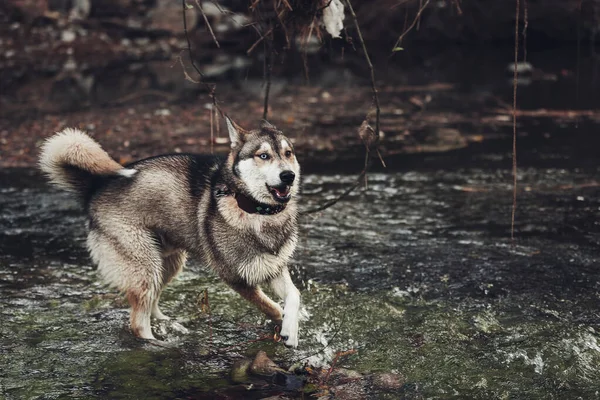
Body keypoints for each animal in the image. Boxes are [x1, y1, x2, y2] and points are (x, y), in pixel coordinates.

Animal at [38, 118, 302, 346]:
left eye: (288, 153)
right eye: (263, 155)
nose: (288, 176)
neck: (255, 210)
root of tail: (95, 189)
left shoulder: (274, 266)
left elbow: (294, 295)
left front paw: (292, 326)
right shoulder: (236, 277)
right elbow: (270, 306)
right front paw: (284, 325)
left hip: (167, 264)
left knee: (152, 304)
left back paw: (169, 323)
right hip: (145, 268)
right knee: (138, 322)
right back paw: (158, 345)